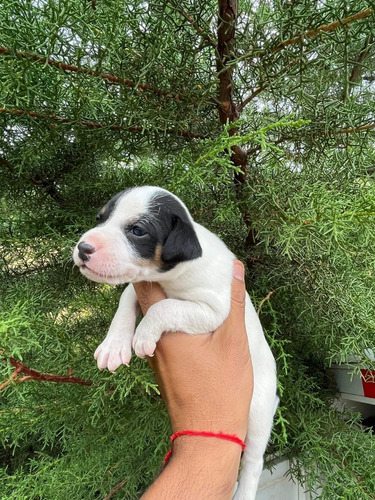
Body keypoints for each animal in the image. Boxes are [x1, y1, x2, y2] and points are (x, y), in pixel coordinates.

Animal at [73, 186, 280, 498]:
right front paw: (114, 345)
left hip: (259, 412)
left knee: (253, 462)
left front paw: (144, 334)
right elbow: (126, 300)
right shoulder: (143, 284)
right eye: (101, 219)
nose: (83, 248)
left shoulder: (212, 310)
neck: (172, 276)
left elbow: (164, 307)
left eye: (137, 231)